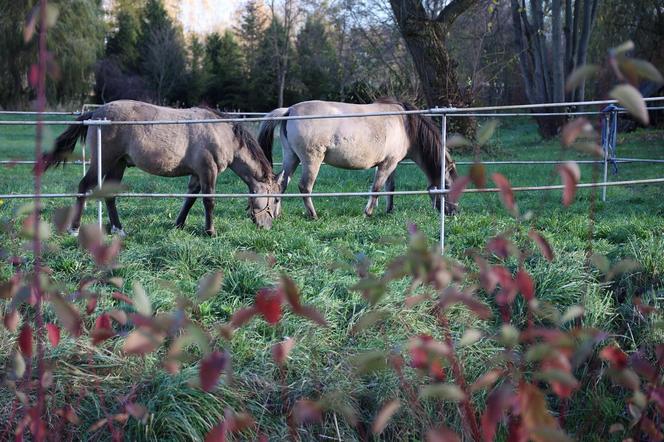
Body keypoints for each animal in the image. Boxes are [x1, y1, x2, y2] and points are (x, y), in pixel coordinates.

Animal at [40, 99, 286, 235]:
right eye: (275, 199)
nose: (267, 227)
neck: (221, 132)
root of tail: (96, 113)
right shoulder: (208, 171)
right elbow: (209, 201)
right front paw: (210, 231)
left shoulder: (196, 175)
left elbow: (190, 200)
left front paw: (178, 225)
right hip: (104, 161)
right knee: (84, 186)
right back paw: (74, 228)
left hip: (118, 164)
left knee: (110, 195)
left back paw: (119, 229)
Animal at [258, 98, 456, 219]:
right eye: (448, 186)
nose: (453, 211)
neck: (405, 125)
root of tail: (290, 110)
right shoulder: (387, 165)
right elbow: (376, 188)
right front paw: (368, 212)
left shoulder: (390, 164)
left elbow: (390, 187)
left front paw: (389, 210)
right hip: (311, 161)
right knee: (304, 187)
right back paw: (313, 215)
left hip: (291, 158)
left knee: (282, 183)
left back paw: (277, 213)